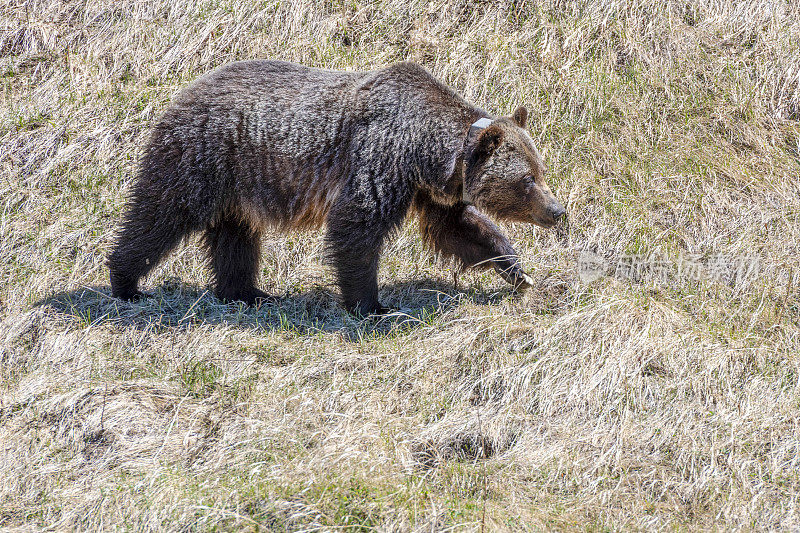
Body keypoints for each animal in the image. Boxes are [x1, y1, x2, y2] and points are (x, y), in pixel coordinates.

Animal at [106, 60, 564, 314]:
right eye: (527, 180)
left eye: (540, 171)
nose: (557, 210)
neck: (426, 152)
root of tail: (183, 91)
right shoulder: (381, 160)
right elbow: (356, 228)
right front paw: (371, 305)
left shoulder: (431, 191)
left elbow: (459, 230)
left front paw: (516, 271)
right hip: (201, 156)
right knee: (160, 213)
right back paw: (125, 283)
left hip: (236, 185)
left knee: (235, 238)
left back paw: (248, 293)